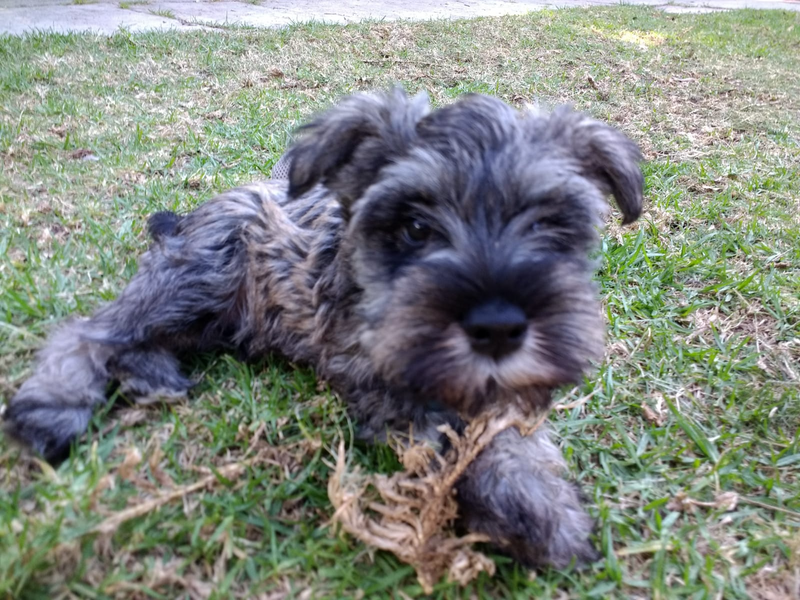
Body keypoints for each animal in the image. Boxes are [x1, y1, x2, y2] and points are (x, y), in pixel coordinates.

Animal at [1, 88, 644, 568]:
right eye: (415, 226)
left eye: (549, 223)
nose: (499, 327)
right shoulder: (388, 382)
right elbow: (463, 437)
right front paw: (531, 504)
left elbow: (506, 421)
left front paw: (538, 492)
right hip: (200, 280)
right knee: (92, 330)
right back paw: (51, 407)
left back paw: (152, 374)